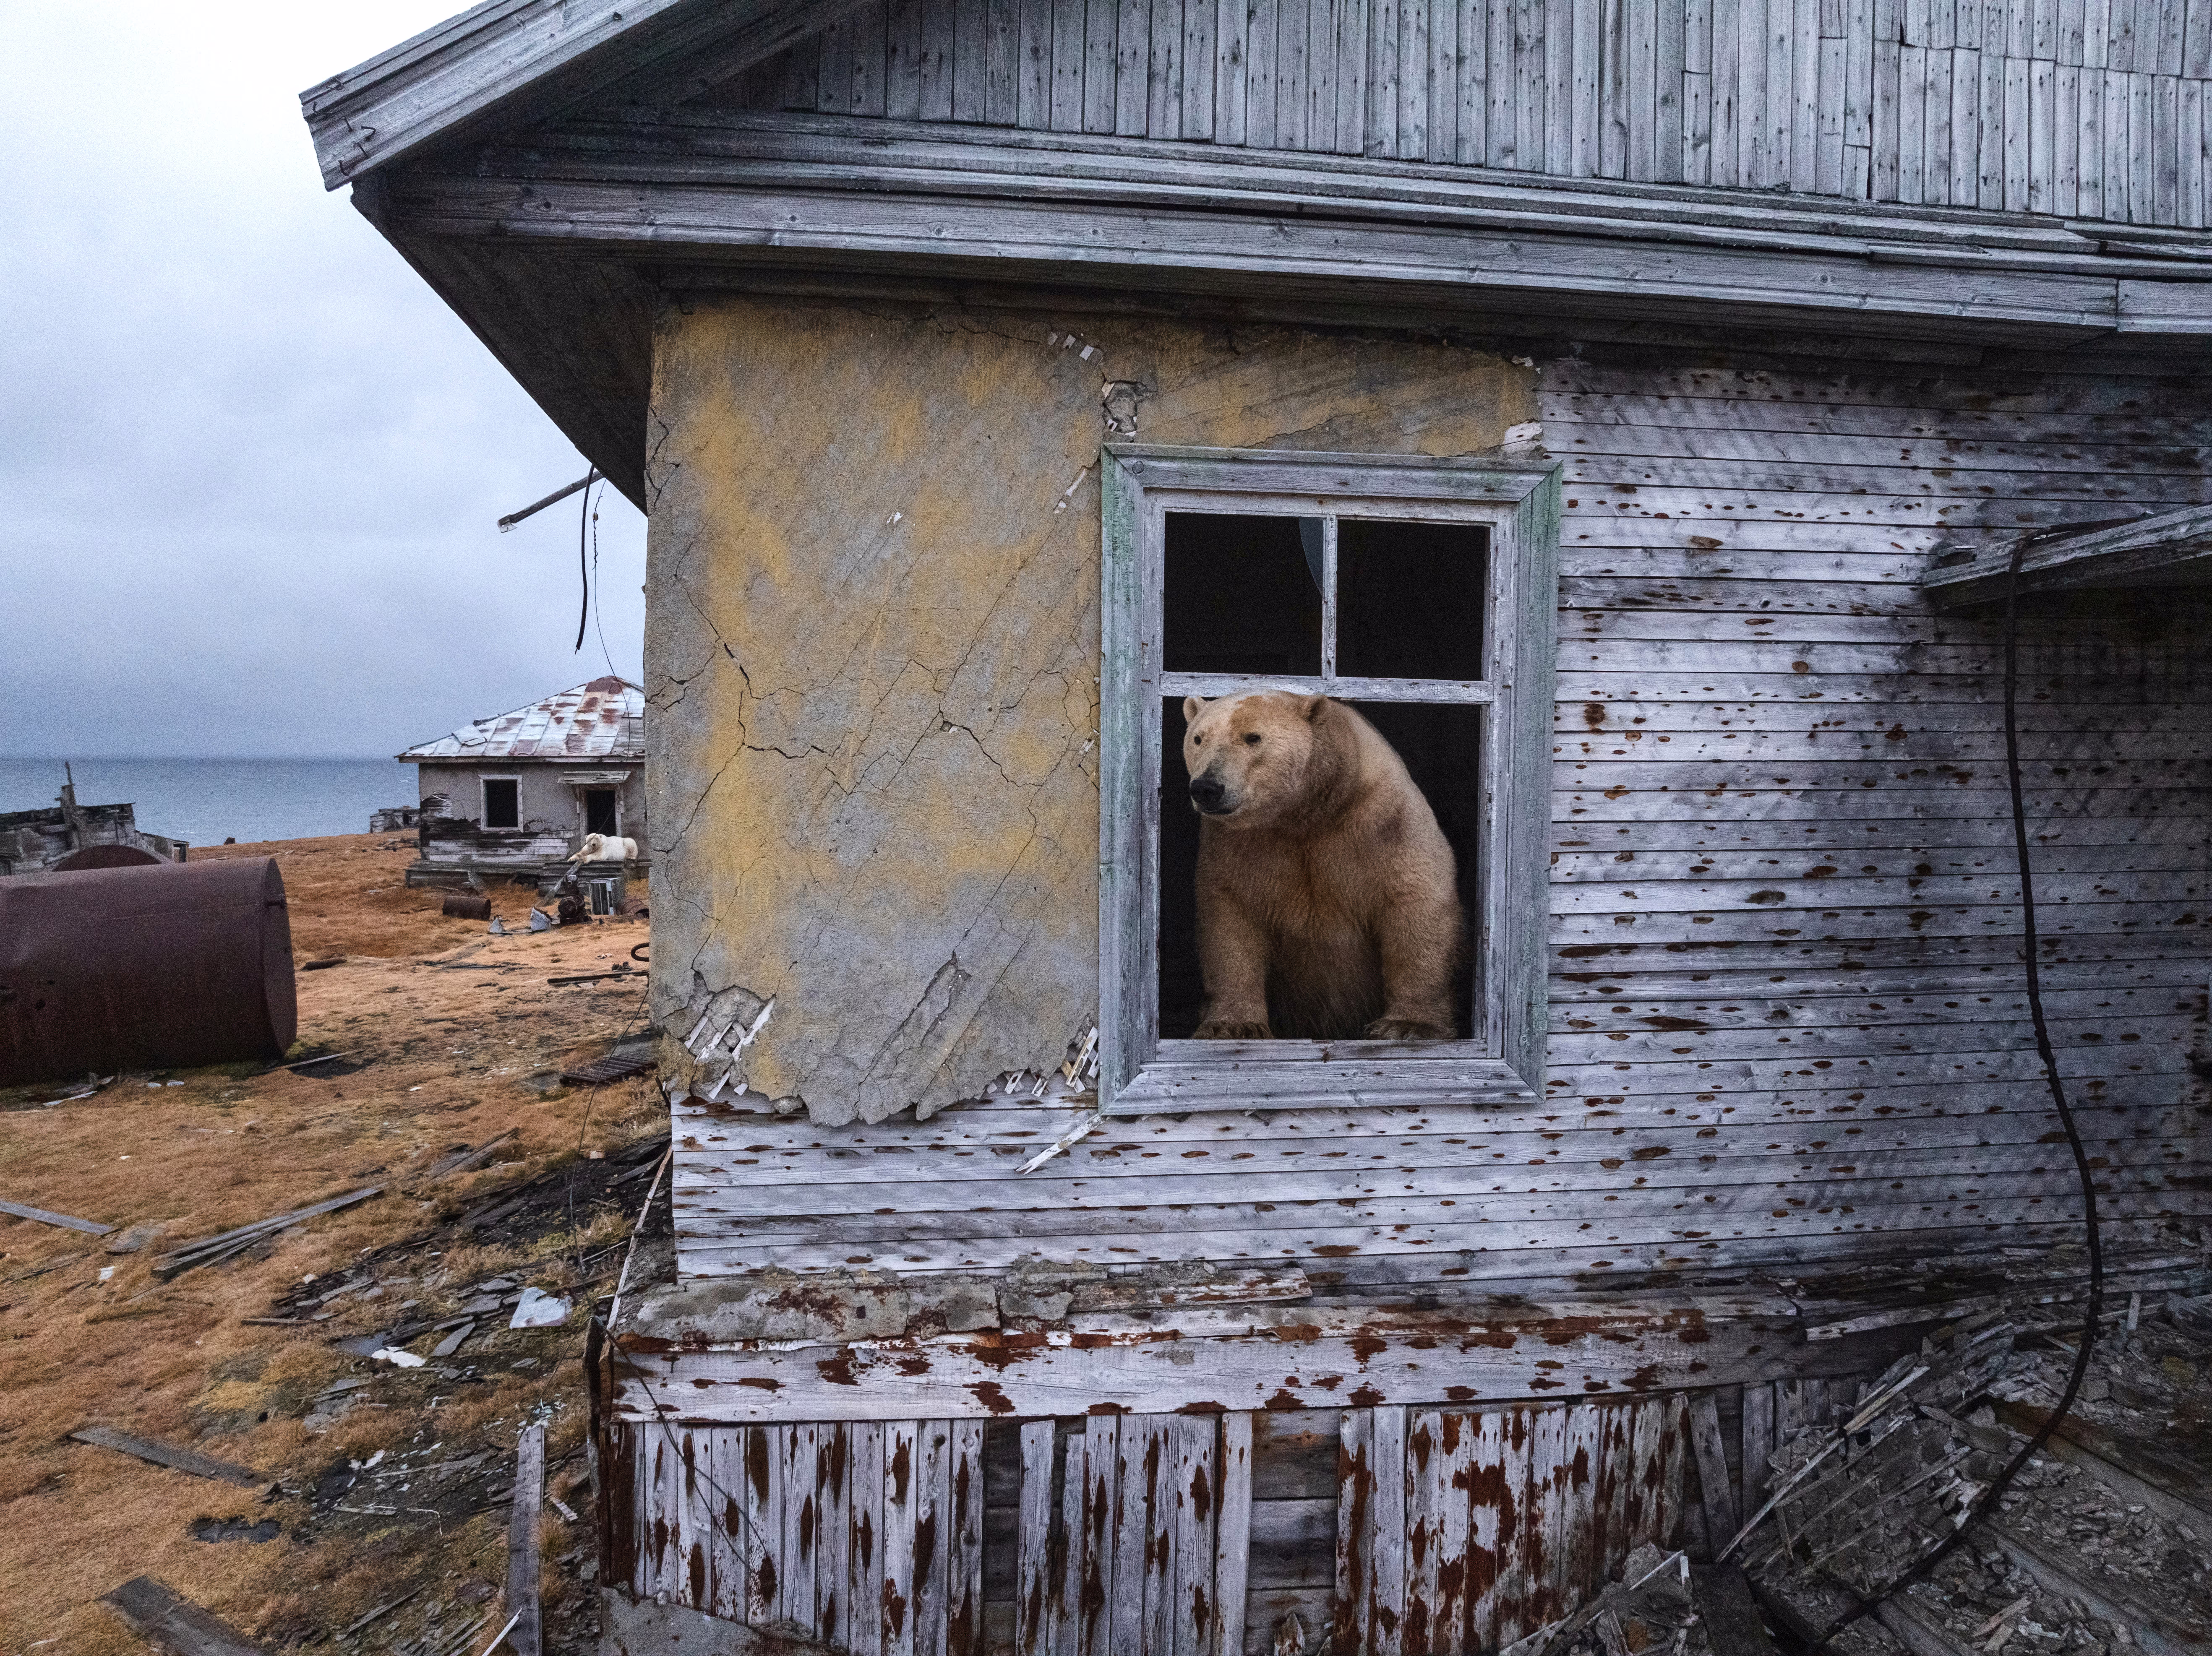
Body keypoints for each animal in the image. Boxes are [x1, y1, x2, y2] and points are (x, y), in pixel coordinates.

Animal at [1180, 692, 1464, 1041]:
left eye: (1253, 737)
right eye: (1198, 738)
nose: (1207, 788)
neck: (1309, 813)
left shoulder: (1385, 821)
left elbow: (1415, 903)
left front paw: (1408, 1026)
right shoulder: (1238, 844)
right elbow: (1231, 918)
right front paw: (1233, 1026)